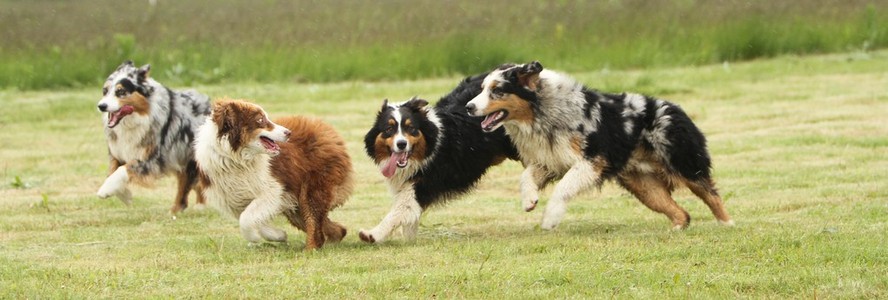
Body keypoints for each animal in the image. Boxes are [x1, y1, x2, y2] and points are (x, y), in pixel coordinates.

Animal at [95, 59, 212, 214]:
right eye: (105, 91)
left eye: (121, 92)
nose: (101, 106)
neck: (133, 121)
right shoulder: (117, 153)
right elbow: (111, 172)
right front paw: (124, 194)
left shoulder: (154, 159)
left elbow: (124, 169)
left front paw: (105, 190)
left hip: (189, 157)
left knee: (188, 183)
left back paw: (189, 208)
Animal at [193, 99, 350, 250]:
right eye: (260, 120)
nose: (288, 132)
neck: (236, 159)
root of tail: (325, 128)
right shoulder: (234, 200)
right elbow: (249, 217)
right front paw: (278, 235)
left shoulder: (273, 189)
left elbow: (246, 219)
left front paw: (254, 238)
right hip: (297, 206)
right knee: (331, 227)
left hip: (313, 188)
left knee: (313, 217)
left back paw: (310, 249)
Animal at [356, 74, 516, 244]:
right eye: (389, 129)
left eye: (411, 128)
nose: (401, 144)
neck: (431, 147)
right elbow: (410, 217)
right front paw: (409, 240)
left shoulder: (425, 184)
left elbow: (401, 208)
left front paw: (373, 234)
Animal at [464, 61, 736, 230]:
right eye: (482, 89)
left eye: (497, 90)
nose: (468, 107)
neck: (545, 110)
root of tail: (676, 108)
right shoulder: (550, 158)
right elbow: (526, 177)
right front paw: (529, 200)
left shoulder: (591, 160)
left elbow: (563, 188)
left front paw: (550, 219)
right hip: (644, 186)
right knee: (681, 212)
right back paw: (679, 227)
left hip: (685, 162)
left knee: (711, 194)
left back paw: (727, 224)